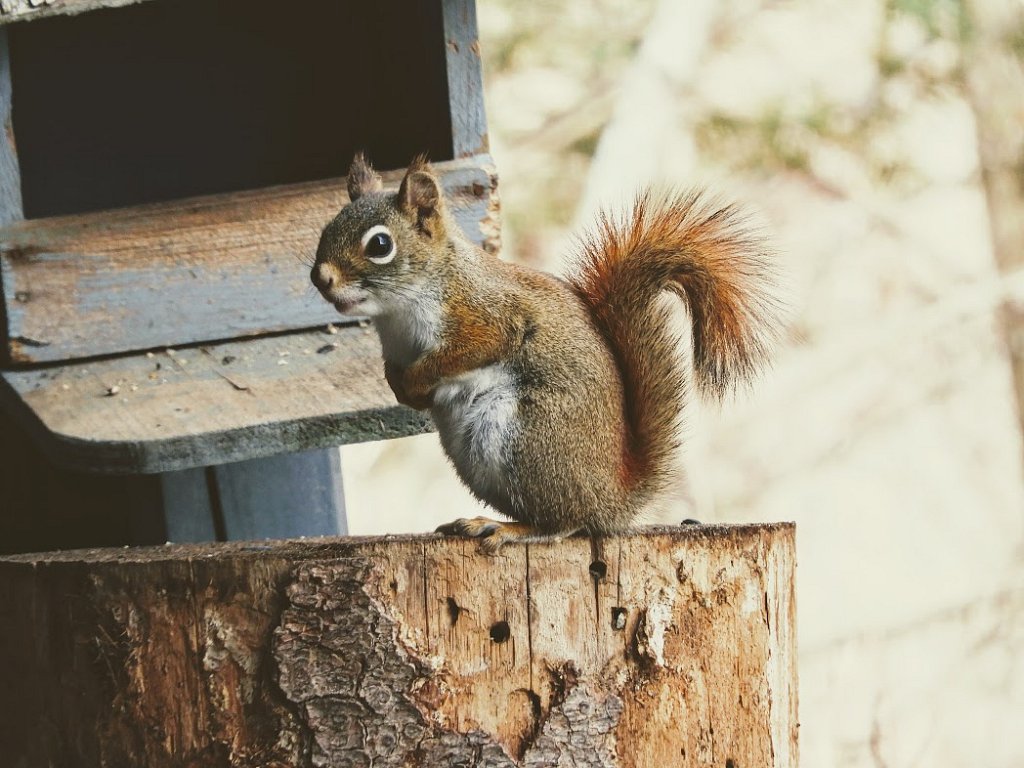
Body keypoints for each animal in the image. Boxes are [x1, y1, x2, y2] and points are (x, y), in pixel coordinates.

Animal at [311, 154, 782, 552]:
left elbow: (467, 351)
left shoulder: (487, 318)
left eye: (380, 245)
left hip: (527, 436)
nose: (321, 278)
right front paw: (401, 388)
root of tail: (613, 500)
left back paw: (504, 527)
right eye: (326, 228)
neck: (399, 312)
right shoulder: (396, 348)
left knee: (564, 523)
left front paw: (416, 381)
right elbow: (395, 371)